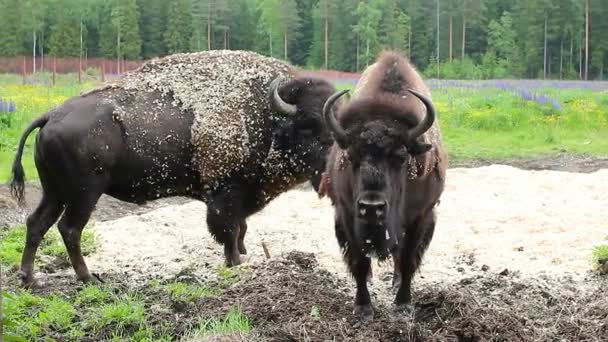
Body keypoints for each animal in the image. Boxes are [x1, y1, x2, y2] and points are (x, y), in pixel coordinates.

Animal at [11, 49, 340, 288]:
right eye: (308, 125)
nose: (332, 172)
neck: (266, 115)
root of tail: (51, 115)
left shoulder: (241, 194)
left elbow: (242, 228)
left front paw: (244, 255)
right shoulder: (224, 192)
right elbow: (229, 228)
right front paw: (235, 262)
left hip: (55, 192)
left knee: (37, 223)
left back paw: (30, 279)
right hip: (85, 193)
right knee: (69, 228)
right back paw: (88, 278)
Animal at [318, 50, 446, 318]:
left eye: (400, 156)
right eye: (351, 156)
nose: (371, 207)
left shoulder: (421, 216)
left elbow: (407, 260)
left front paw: (403, 304)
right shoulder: (347, 214)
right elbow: (359, 261)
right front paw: (363, 307)